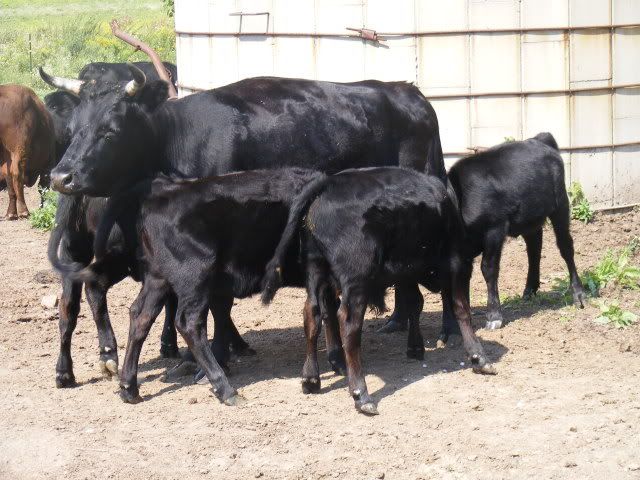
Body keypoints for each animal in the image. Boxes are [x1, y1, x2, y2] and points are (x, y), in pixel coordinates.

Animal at [0, 84, 56, 219]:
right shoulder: (48, 164)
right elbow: (43, 188)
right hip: (20, 149)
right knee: (17, 174)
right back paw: (23, 211)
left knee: (9, 177)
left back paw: (11, 213)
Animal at [39, 64, 447, 371]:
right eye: (72, 129)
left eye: (110, 131)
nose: (61, 177)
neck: (175, 139)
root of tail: (407, 91)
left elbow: (218, 301)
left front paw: (215, 354)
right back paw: (397, 321)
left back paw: (442, 334)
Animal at [71, 168, 333, 406]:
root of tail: (163, 190)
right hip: (195, 275)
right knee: (189, 322)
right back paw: (224, 388)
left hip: (158, 278)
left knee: (140, 316)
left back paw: (128, 387)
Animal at [262, 167, 497, 415]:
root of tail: (329, 182)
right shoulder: (457, 261)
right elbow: (461, 308)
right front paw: (478, 357)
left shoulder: (406, 270)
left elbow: (414, 303)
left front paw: (415, 347)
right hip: (356, 279)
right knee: (349, 324)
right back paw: (361, 393)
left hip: (314, 268)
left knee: (312, 314)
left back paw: (310, 379)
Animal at [437, 133, 586, 343]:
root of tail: (540, 139)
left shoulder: (495, 229)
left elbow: (488, 269)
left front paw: (493, 316)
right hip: (530, 217)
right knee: (534, 248)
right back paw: (530, 290)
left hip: (560, 206)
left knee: (566, 247)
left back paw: (578, 293)